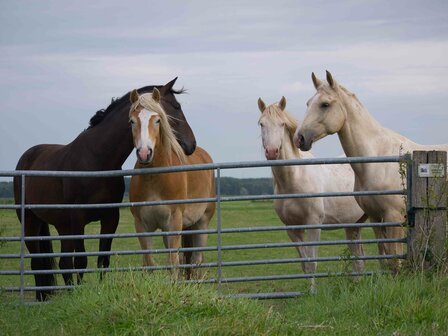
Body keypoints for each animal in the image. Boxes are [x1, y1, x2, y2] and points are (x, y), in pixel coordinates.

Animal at [13, 79, 196, 302]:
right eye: (176, 107)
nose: (192, 144)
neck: (97, 159)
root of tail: (27, 157)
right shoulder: (78, 219)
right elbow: (81, 261)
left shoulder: (110, 217)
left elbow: (102, 260)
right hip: (30, 220)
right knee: (37, 261)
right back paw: (42, 299)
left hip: (60, 225)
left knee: (62, 263)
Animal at [128, 88, 215, 280]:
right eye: (132, 121)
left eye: (157, 120)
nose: (144, 153)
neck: (155, 179)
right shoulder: (142, 225)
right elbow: (149, 263)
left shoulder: (174, 222)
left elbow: (173, 264)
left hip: (202, 223)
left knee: (196, 260)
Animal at [258, 97, 366, 292]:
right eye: (261, 124)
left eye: (282, 124)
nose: (271, 151)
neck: (294, 179)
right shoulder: (292, 229)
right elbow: (304, 264)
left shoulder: (314, 224)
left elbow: (312, 262)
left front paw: (312, 293)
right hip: (354, 225)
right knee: (359, 258)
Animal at [294, 71, 448, 270]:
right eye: (308, 103)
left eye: (325, 104)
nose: (299, 138)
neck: (376, 161)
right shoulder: (376, 218)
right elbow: (384, 259)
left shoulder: (393, 217)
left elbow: (394, 260)